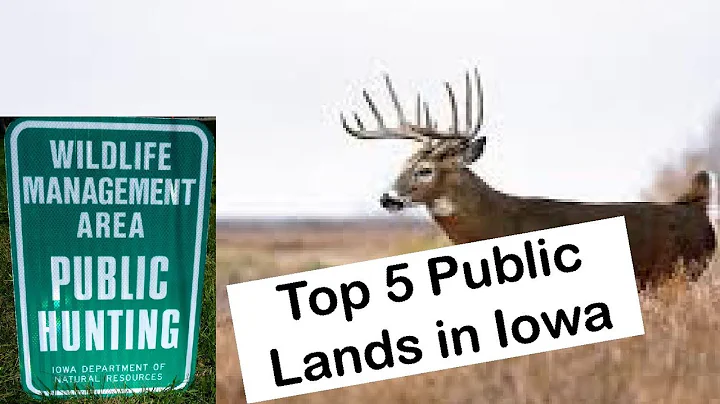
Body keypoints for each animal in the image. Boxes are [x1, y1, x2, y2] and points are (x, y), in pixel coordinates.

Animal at [340, 68, 718, 290]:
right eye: (403, 163)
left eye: (425, 169)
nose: (387, 198)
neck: (497, 223)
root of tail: (695, 206)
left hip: (683, 273)